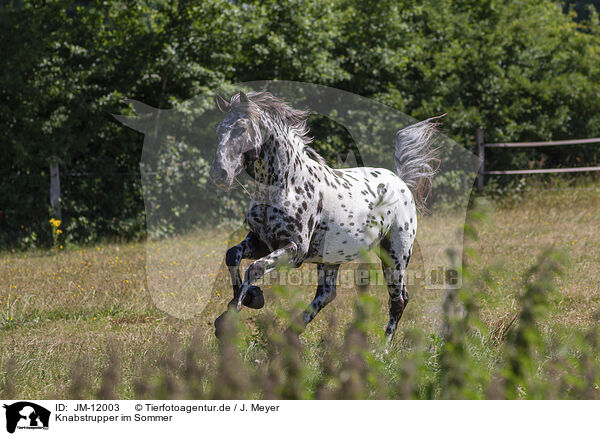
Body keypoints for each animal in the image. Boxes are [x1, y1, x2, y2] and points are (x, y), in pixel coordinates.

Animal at [211, 92, 440, 348]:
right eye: (219, 130)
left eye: (241, 128)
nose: (219, 174)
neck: (288, 184)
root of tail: (400, 182)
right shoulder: (260, 242)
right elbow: (233, 255)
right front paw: (249, 300)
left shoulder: (295, 250)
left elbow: (254, 268)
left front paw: (232, 318)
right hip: (331, 258)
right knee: (327, 294)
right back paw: (289, 336)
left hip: (395, 255)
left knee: (398, 300)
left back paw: (383, 350)